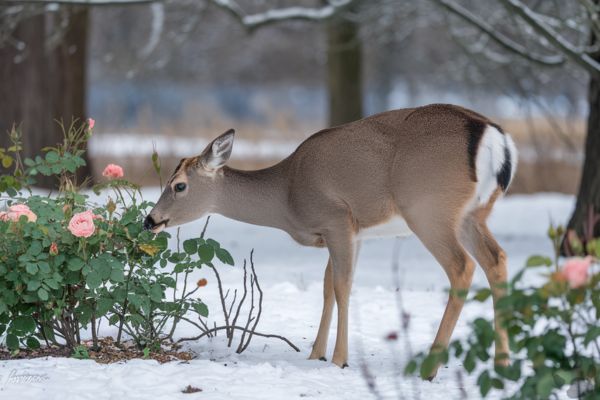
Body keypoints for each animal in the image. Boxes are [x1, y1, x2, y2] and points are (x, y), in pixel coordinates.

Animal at [144, 103, 516, 378]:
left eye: (179, 185)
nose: (150, 220)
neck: (288, 195)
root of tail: (494, 136)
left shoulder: (338, 218)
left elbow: (342, 284)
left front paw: (339, 358)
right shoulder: (350, 232)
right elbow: (326, 286)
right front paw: (316, 354)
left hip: (429, 210)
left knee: (462, 267)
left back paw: (430, 368)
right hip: (473, 214)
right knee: (496, 259)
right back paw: (503, 363)